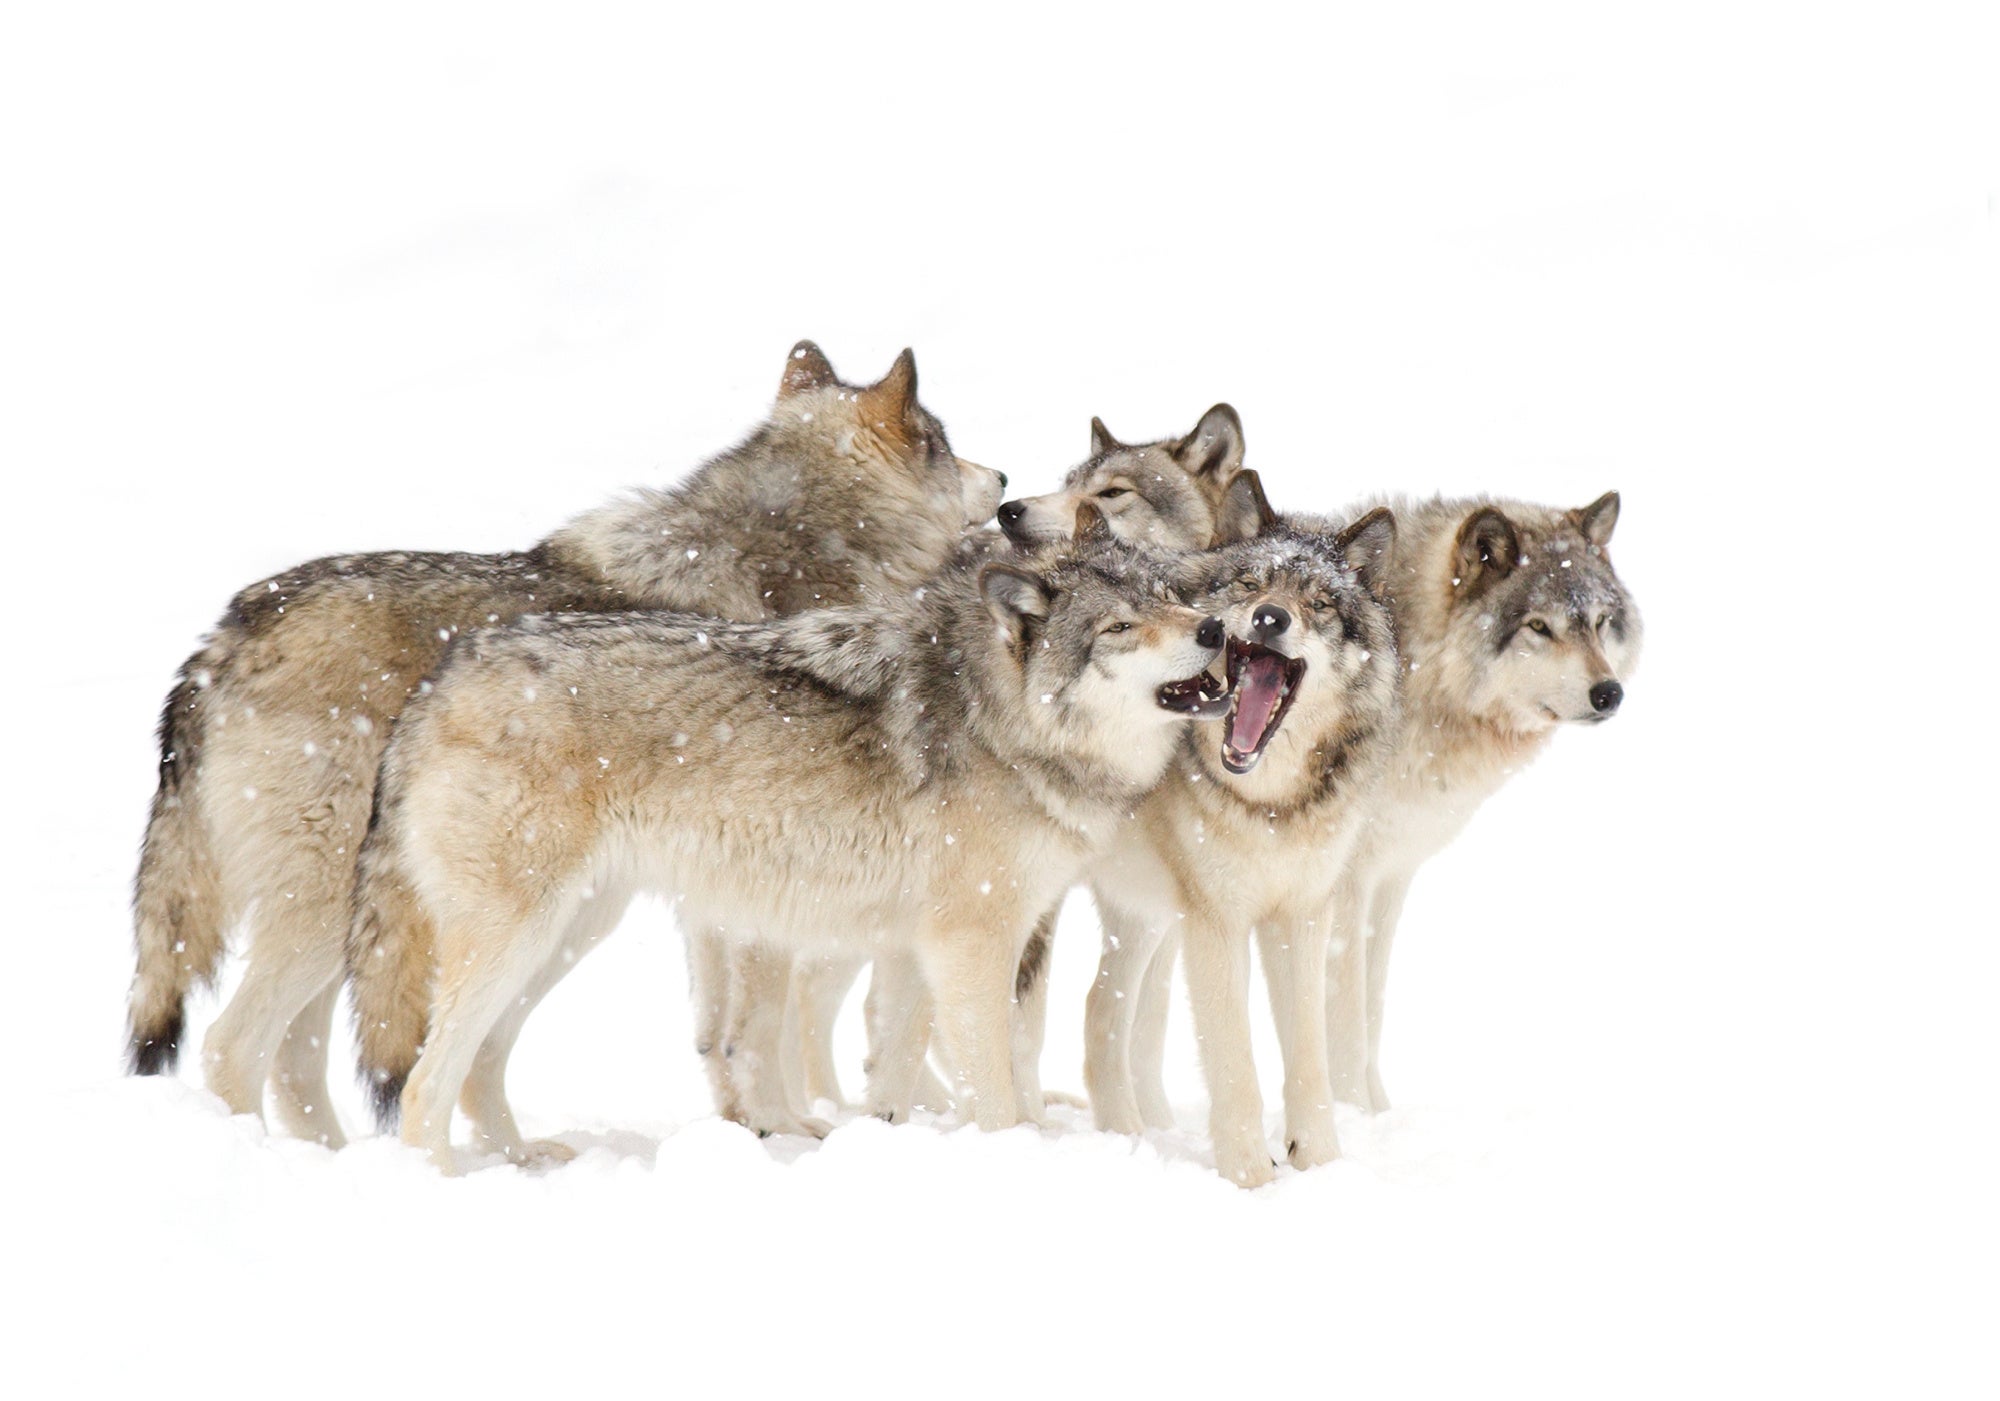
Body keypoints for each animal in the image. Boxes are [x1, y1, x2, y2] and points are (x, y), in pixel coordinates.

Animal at [127, 342, 1003, 1151]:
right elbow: (761, 1022)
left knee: (311, 1055)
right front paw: (789, 1128)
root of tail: (222, 637)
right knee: (238, 1046)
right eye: (945, 441)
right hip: (371, 912)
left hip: (471, 919)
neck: (795, 547)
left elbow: (727, 1028)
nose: (1002, 482)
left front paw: (755, 1124)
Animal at [346, 534, 1229, 1171]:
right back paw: (440, 1183)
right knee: (425, 1082)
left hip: (566, 934)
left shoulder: (916, 951)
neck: (1000, 721)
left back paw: (522, 1158)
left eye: (1174, 597)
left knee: (476, 1066)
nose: (1217, 628)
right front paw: (1011, 1157)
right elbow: (998, 1090)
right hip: (519, 937)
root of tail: (439, 678)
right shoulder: (970, 944)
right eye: (1119, 627)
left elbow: (897, 1073)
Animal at [1087, 507, 1401, 1186]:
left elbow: (1309, 1053)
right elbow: (1235, 1062)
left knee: (1099, 1010)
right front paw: (1250, 1178)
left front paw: (1319, 1162)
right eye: (1251, 584)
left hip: (1142, 919)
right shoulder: (1217, 923)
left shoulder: (1302, 916)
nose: (1270, 618)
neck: (1271, 807)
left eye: (1320, 602)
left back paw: (1127, 1134)